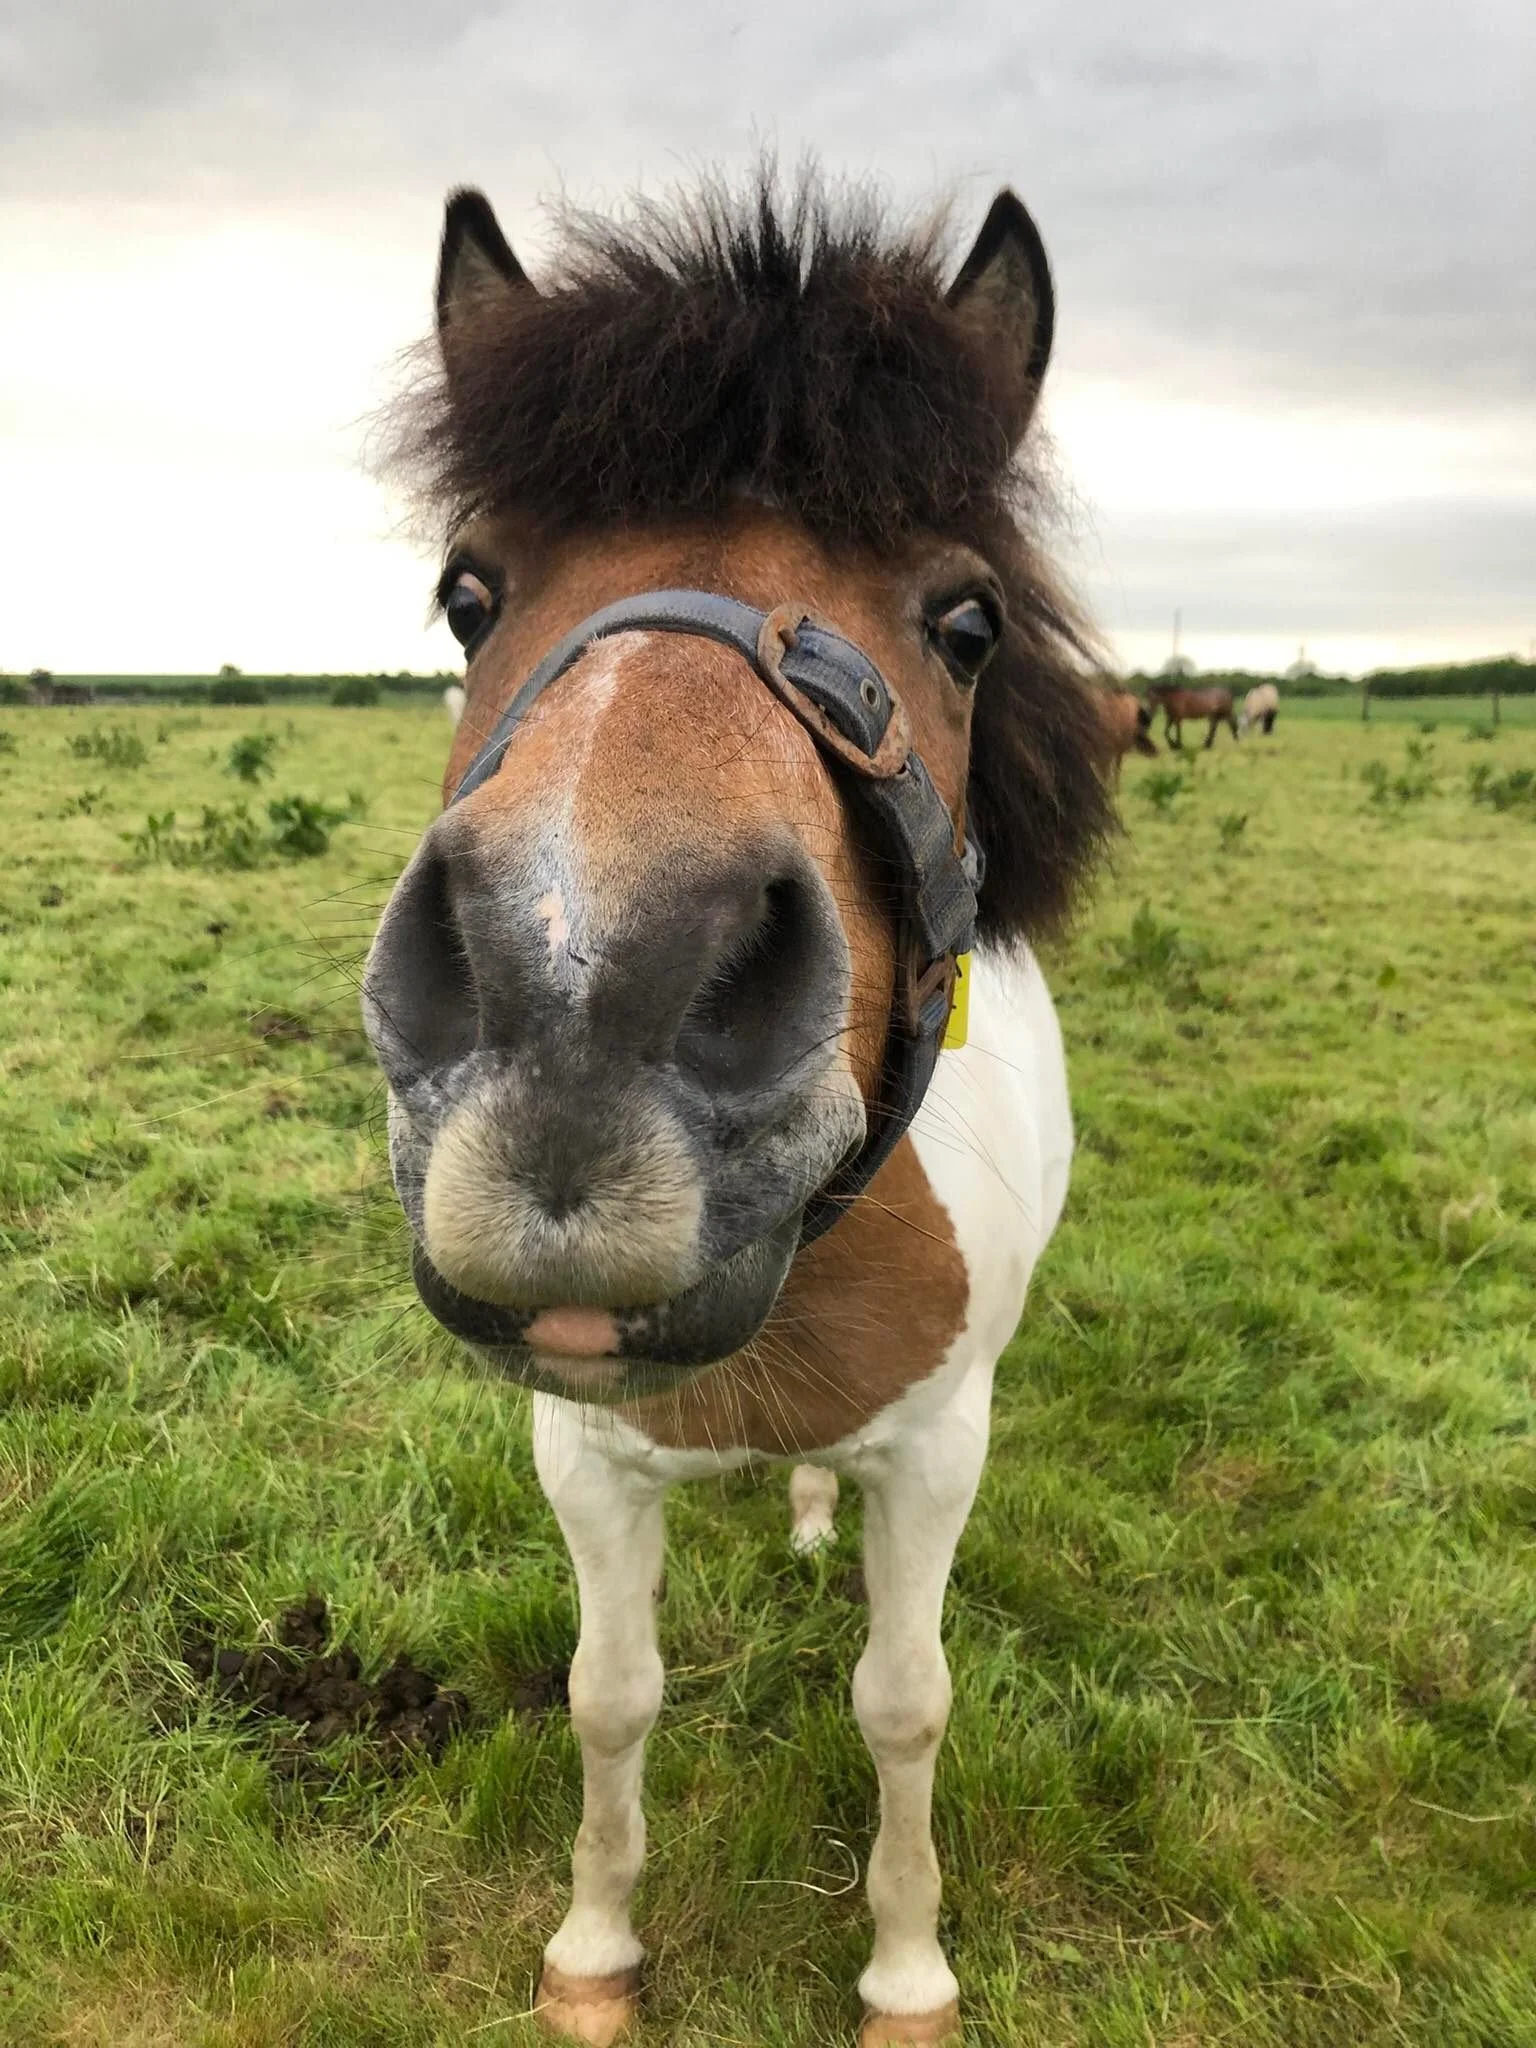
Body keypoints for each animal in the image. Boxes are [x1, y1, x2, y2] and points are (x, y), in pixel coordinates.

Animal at [364, 173, 1113, 2047]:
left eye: (968, 619)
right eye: (468, 593)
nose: (580, 1002)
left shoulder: (942, 1447)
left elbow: (904, 1703)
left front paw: (907, 1970)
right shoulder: (581, 1454)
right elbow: (609, 1696)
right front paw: (594, 1949)